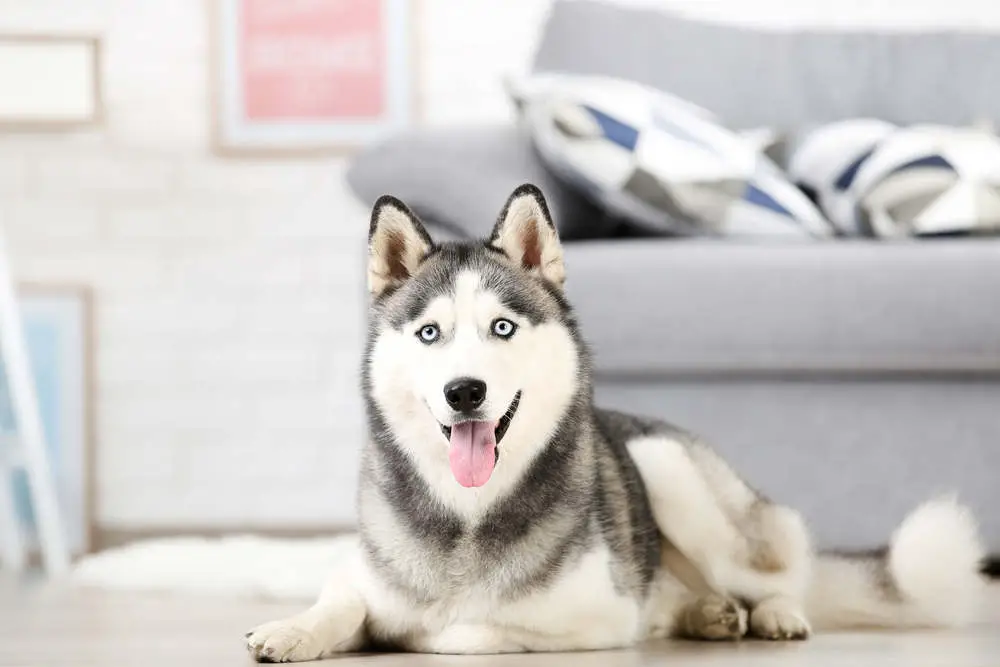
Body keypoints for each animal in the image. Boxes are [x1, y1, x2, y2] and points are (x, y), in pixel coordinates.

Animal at [244, 184, 984, 664]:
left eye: (502, 327)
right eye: (430, 333)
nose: (464, 391)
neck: (466, 515)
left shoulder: (592, 612)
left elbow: (465, 628)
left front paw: (418, 631)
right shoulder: (363, 571)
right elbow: (344, 599)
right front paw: (294, 628)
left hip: (666, 464)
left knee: (776, 576)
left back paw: (771, 612)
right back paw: (707, 614)